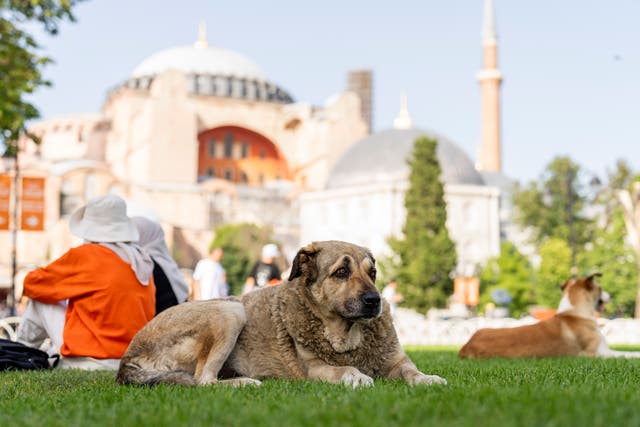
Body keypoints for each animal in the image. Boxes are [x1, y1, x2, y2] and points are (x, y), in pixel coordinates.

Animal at [458, 272, 640, 360]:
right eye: (600, 289)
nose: (610, 296)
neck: (575, 312)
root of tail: (465, 346)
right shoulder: (598, 353)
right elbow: (629, 354)